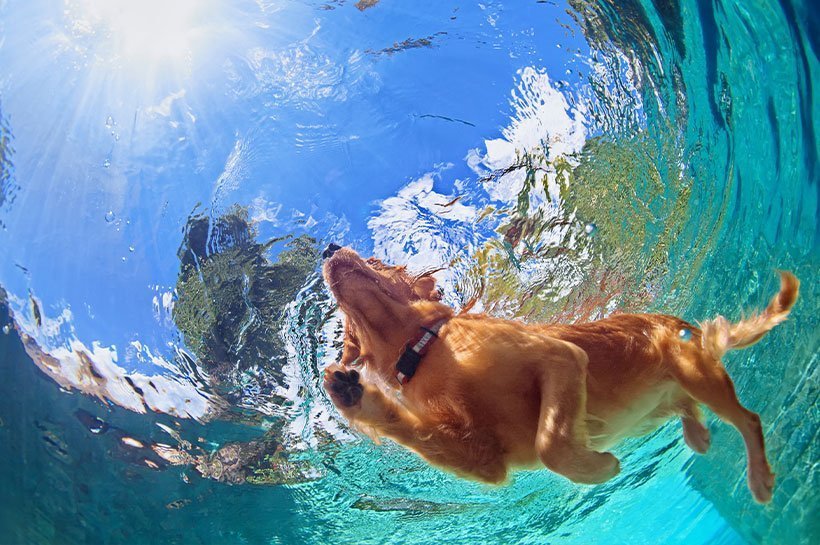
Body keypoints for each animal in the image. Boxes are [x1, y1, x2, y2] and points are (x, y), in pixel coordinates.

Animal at [322, 244, 800, 504]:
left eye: (376, 259)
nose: (328, 249)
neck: (425, 349)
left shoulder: (561, 357)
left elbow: (550, 443)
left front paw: (598, 468)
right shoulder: (486, 459)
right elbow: (424, 434)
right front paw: (351, 395)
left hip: (696, 373)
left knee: (749, 419)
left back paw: (759, 478)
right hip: (662, 403)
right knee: (688, 406)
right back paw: (697, 434)